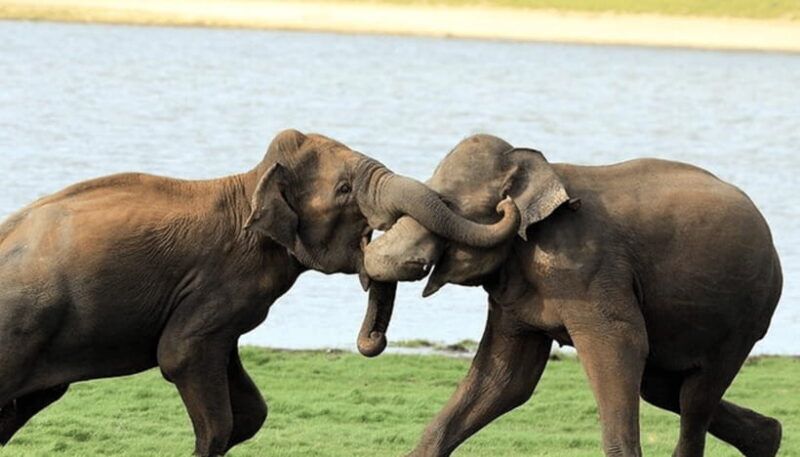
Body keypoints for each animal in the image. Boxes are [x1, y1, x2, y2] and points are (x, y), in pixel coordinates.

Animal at [0, 129, 518, 456]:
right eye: (345, 189)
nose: (507, 203)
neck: (249, 185)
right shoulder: (216, 283)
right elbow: (182, 359)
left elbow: (252, 413)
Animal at [363, 134, 783, 457]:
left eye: (446, 205)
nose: (375, 341)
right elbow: (506, 378)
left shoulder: (586, 268)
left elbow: (622, 345)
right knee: (662, 388)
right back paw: (770, 438)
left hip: (745, 317)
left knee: (695, 397)